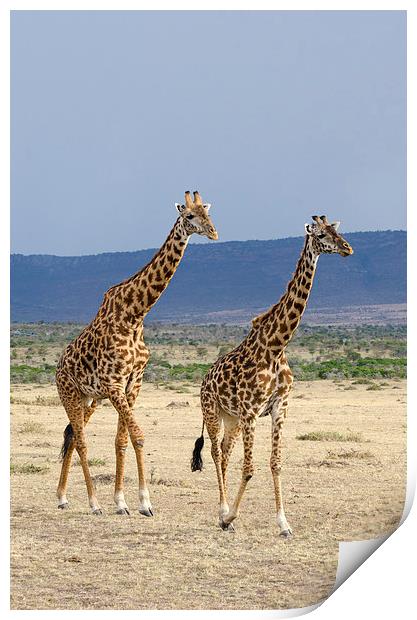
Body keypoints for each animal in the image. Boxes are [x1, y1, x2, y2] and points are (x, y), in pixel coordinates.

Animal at [55, 190, 218, 520]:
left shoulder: (133, 384)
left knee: (72, 436)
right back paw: (92, 503)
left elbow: (122, 441)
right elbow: (139, 436)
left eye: (208, 213)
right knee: (81, 440)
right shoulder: (115, 384)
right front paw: (144, 502)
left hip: (89, 398)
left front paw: (123, 502)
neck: (135, 315)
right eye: (189, 216)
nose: (213, 233)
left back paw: (63, 497)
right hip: (69, 394)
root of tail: (57, 367)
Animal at [190, 216, 352, 536]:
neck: (277, 346)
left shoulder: (279, 407)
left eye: (337, 231)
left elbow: (275, 463)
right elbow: (249, 468)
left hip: (232, 419)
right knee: (214, 451)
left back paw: (225, 515)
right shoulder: (251, 411)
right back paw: (222, 512)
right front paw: (231, 516)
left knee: (225, 452)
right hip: (213, 412)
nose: (346, 248)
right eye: (320, 235)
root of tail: (204, 379)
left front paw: (284, 524)